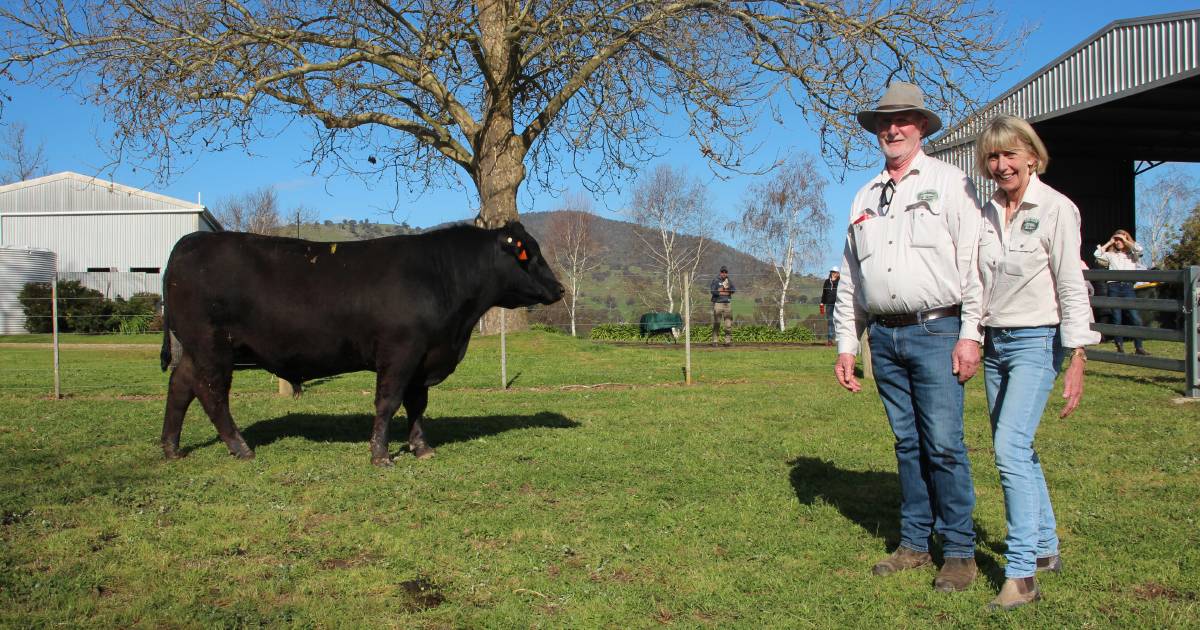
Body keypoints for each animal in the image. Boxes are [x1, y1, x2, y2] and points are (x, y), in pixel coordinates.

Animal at [158, 223, 561, 463]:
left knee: (180, 386)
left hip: (196, 349)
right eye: (530, 254)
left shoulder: (424, 358)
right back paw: (240, 447)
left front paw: (421, 448)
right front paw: (380, 455)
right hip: (212, 347)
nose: (559, 288)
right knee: (211, 394)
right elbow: (388, 402)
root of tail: (191, 240)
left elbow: (417, 405)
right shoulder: (400, 353)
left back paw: (171, 448)